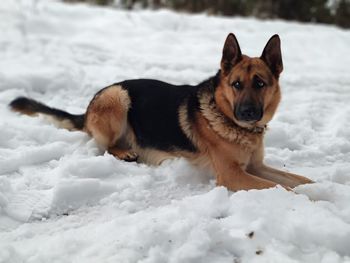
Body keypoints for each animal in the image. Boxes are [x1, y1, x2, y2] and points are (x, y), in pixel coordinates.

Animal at [10, 34, 312, 192]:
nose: (248, 113)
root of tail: (88, 108)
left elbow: (300, 180)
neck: (230, 121)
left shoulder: (256, 167)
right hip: (117, 97)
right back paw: (125, 152)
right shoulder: (234, 175)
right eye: (237, 84)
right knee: (105, 146)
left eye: (260, 83)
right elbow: (285, 189)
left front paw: (320, 189)